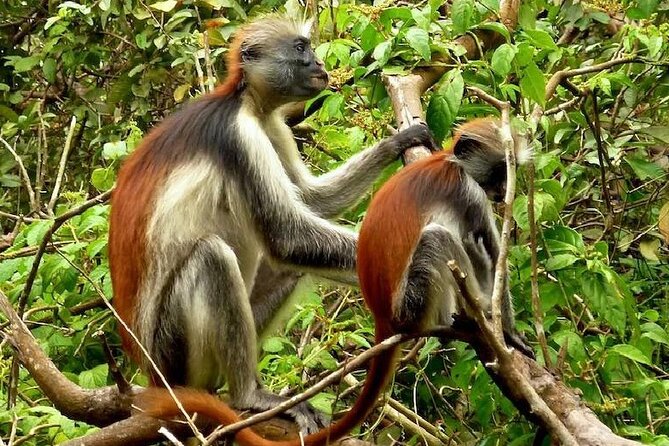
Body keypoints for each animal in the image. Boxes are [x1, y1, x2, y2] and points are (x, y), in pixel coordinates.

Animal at [111, 14, 436, 436]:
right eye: (300, 48)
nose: (318, 64)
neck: (247, 103)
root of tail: (152, 373)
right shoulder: (239, 137)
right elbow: (287, 237)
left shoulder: (272, 125)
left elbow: (312, 201)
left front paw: (398, 143)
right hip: (173, 351)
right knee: (213, 256)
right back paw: (248, 395)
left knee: (289, 268)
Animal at [136, 116, 532, 444]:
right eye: (499, 171)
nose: (502, 192)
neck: (449, 162)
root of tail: (384, 317)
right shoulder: (470, 193)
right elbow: (490, 251)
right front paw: (507, 332)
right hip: (412, 301)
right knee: (441, 239)